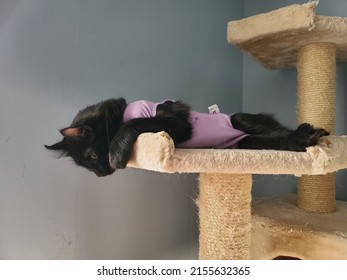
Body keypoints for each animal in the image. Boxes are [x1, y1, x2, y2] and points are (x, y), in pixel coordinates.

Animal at [44, 98, 330, 176]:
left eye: (93, 156)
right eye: (87, 167)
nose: (101, 174)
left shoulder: (175, 122)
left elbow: (135, 123)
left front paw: (117, 151)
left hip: (239, 118)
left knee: (279, 131)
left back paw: (306, 134)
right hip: (246, 143)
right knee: (272, 139)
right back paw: (303, 138)